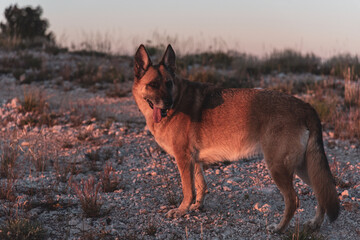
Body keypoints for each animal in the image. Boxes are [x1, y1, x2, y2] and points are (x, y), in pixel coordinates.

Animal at [131, 44, 338, 232]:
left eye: (169, 83)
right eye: (153, 85)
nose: (168, 103)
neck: (178, 100)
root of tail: (306, 107)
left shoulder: (183, 160)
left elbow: (188, 190)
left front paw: (182, 210)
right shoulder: (194, 161)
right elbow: (200, 185)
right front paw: (197, 206)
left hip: (278, 168)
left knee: (293, 201)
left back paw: (279, 228)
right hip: (303, 167)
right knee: (321, 194)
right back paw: (314, 224)